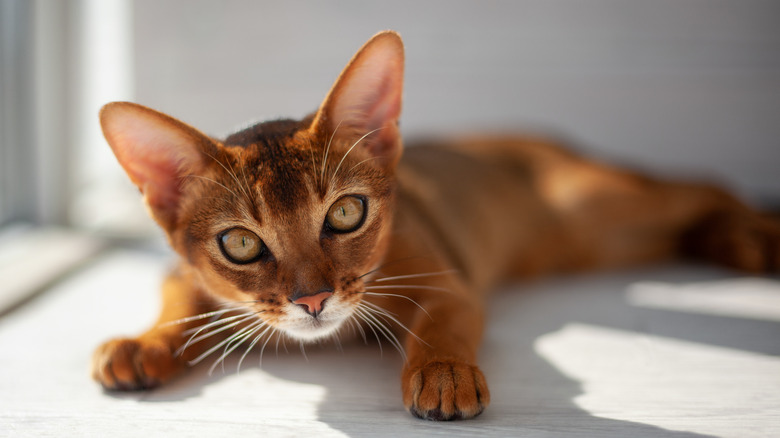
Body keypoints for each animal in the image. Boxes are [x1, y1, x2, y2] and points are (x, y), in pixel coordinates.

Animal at [93, 30, 780, 420]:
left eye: (346, 212)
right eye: (239, 243)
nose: (313, 300)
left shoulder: (451, 280)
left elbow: (439, 322)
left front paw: (443, 374)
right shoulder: (179, 274)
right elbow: (177, 306)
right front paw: (139, 343)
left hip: (595, 206)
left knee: (705, 185)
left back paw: (758, 236)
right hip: (599, 240)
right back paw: (737, 243)